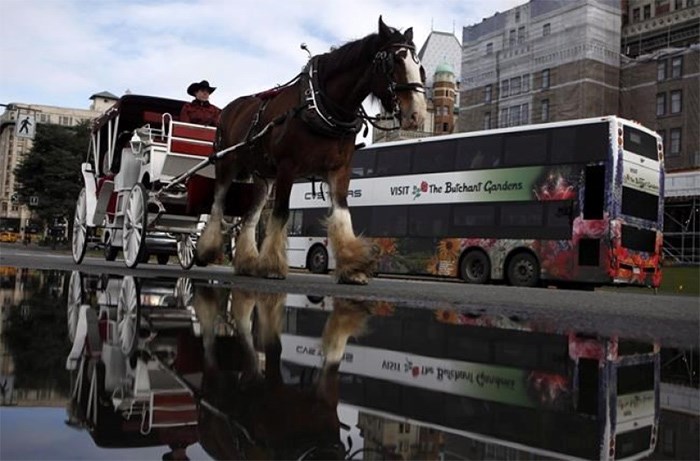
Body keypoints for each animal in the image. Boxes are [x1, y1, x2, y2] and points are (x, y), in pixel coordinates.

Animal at [194, 17, 430, 284]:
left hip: (263, 176)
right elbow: (281, 212)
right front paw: (273, 265)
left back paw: (246, 262)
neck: (320, 105)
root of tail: (230, 108)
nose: (417, 115)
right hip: (226, 162)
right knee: (218, 203)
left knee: (250, 215)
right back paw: (207, 251)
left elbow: (342, 212)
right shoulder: (287, 166)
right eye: (394, 61)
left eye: (420, 67)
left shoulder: (340, 169)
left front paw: (353, 267)